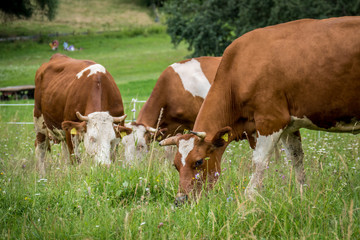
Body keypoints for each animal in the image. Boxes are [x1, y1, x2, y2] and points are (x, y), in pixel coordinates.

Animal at [161, 16, 360, 202]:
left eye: (198, 161)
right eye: (175, 165)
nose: (180, 200)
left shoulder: (271, 120)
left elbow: (259, 161)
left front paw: (249, 199)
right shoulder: (289, 125)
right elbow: (296, 158)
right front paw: (303, 194)